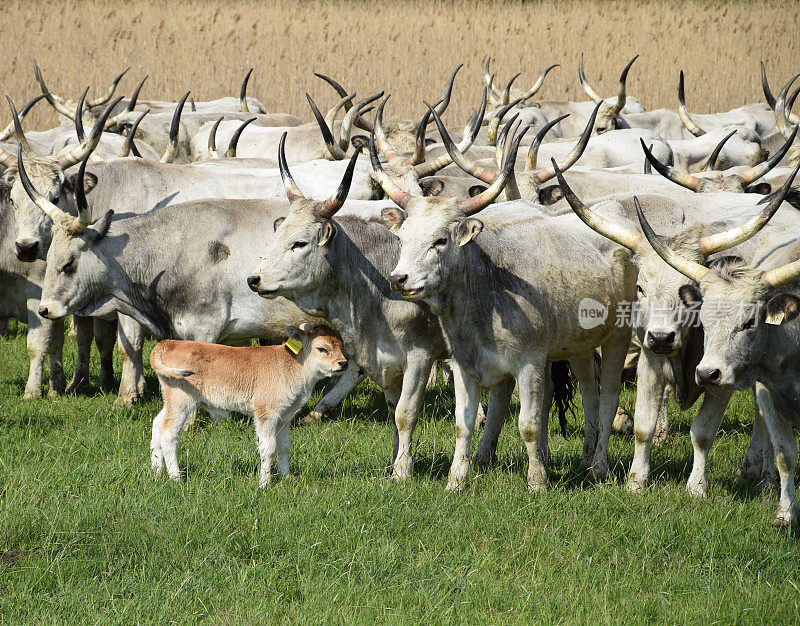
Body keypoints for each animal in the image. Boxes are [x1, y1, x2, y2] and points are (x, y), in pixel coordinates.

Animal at [150, 324, 346, 486]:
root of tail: (171, 343)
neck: (291, 364)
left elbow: (284, 446)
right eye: (322, 348)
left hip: (171, 402)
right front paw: (264, 483)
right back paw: (176, 478)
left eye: (341, 346)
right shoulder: (266, 414)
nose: (343, 363)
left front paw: (286, 477)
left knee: (157, 424)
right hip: (181, 402)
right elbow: (268, 448)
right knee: (168, 433)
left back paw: (156, 472)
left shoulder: (285, 417)